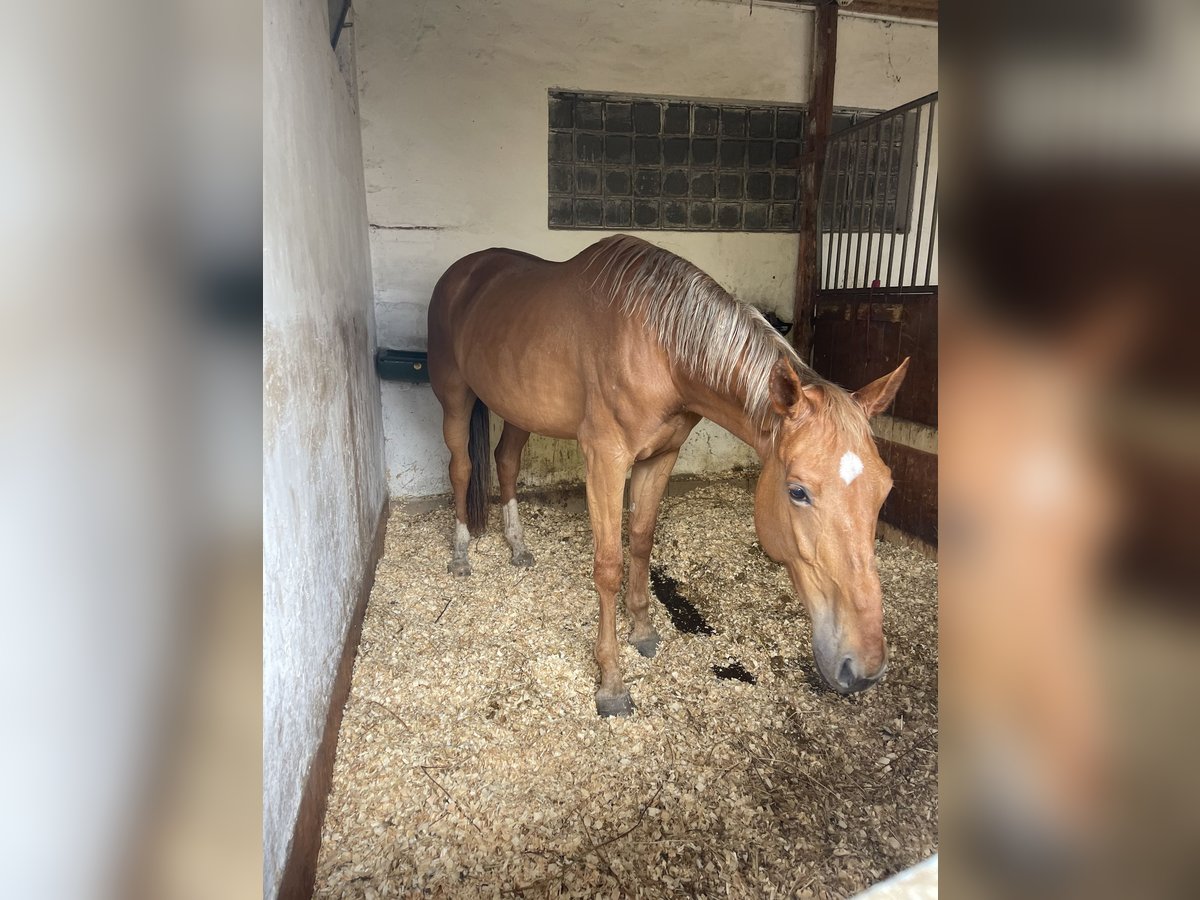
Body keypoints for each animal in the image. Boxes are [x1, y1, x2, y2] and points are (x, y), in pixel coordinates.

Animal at [432, 236, 907, 715]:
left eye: (886, 489)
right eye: (797, 492)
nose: (863, 668)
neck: (657, 346)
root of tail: (464, 271)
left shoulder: (661, 456)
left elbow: (641, 540)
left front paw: (642, 631)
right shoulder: (605, 460)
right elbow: (609, 565)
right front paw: (611, 682)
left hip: (519, 410)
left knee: (506, 461)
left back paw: (517, 545)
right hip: (455, 397)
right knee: (462, 467)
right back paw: (460, 553)